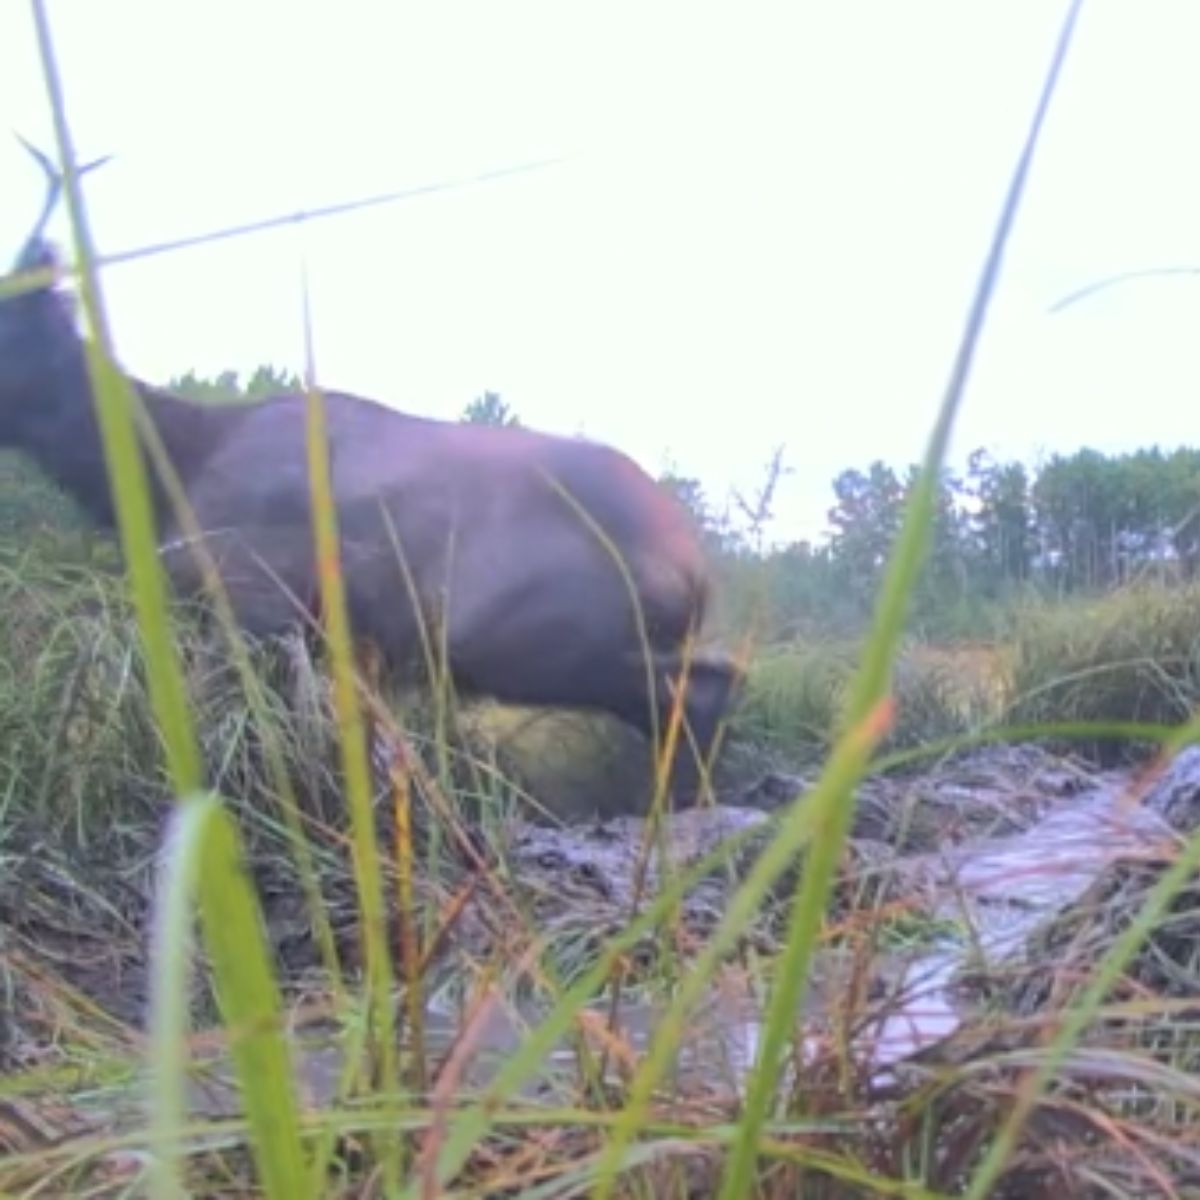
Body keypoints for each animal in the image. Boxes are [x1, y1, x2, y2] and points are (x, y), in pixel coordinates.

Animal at [2, 142, 739, 806]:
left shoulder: (253, 593)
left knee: (700, 690)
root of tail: (696, 566)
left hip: (536, 630)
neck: (177, 470)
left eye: (8, 317)